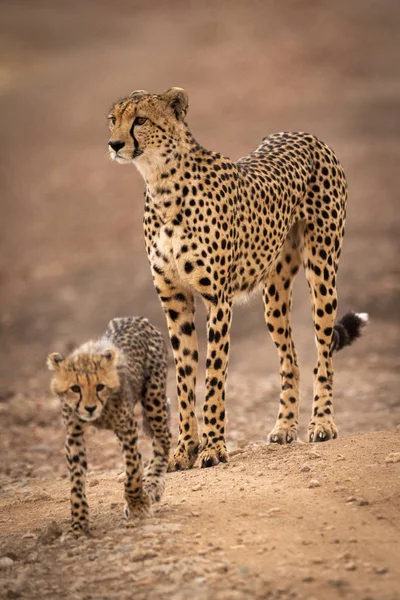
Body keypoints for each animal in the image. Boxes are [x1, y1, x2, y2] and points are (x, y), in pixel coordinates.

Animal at [108, 86, 368, 472]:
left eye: (140, 120)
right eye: (113, 119)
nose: (114, 143)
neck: (162, 183)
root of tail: (304, 134)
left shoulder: (217, 299)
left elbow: (214, 376)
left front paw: (214, 448)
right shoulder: (174, 300)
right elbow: (184, 380)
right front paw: (183, 450)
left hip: (322, 272)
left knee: (323, 354)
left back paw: (321, 423)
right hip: (273, 296)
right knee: (291, 360)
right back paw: (284, 426)